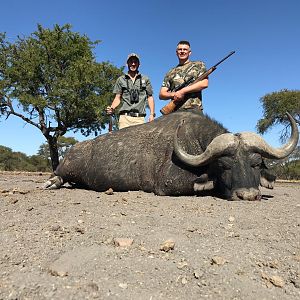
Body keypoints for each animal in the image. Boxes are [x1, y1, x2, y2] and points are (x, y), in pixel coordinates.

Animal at [43, 109, 298, 200]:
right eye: (224, 166)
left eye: (255, 164)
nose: (248, 196)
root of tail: (73, 150)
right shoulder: (167, 184)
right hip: (65, 168)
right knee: (58, 175)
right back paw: (53, 182)